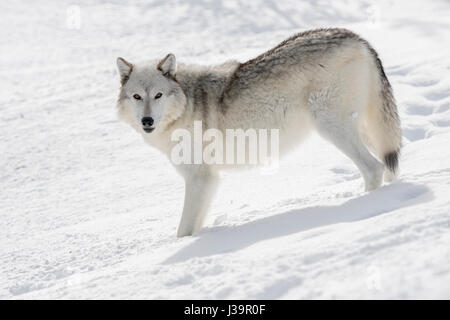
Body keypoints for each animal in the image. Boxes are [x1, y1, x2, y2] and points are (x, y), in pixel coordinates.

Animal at [115, 28, 400, 238]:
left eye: (158, 95)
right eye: (137, 96)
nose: (147, 121)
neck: (187, 103)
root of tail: (357, 38)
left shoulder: (200, 178)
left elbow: (183, 231)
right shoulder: (209, 181)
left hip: (332, 129)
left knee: (373, 169)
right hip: (365, 130)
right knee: (387, 166)